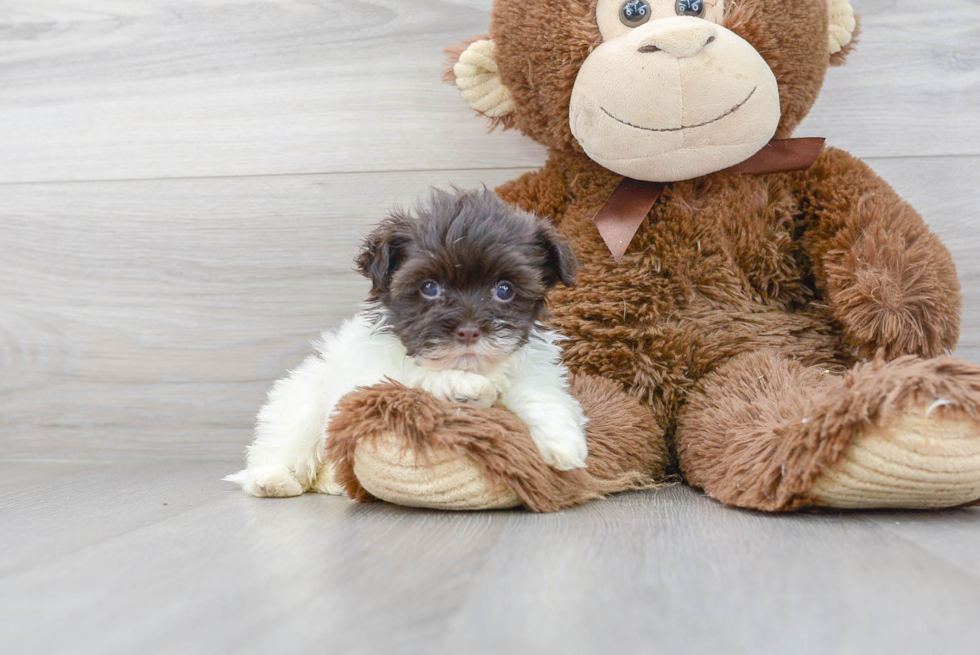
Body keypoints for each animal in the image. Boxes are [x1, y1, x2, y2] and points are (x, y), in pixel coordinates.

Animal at [226, 188, 584, 498]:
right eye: (429, 288)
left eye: (504, 290)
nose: (469, 331)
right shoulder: (368, 383)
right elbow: (415, 376)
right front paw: (461, 384)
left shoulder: (533, 367)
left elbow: (540, 394)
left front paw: (563, 441)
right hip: (302, 406)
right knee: (283, 445)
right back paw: (272, 479)